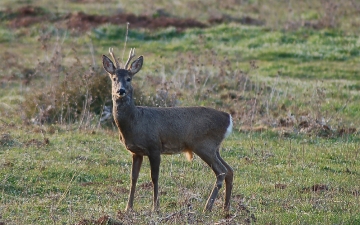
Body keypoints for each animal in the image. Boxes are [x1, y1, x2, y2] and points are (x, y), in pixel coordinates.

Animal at [102, 46, 235, 212]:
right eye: (114, 78)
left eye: (129, 78)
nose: (121, 91)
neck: (135, 122)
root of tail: (228, 118)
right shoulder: (136, 152)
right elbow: (133, 178)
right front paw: (128, 208)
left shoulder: (154, 146)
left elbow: (154, 177)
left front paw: (155, 207)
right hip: (214, 147)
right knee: (229, 170)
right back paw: (226, 208)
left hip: (204, 144)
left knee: (221, 171)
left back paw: (207, 207)